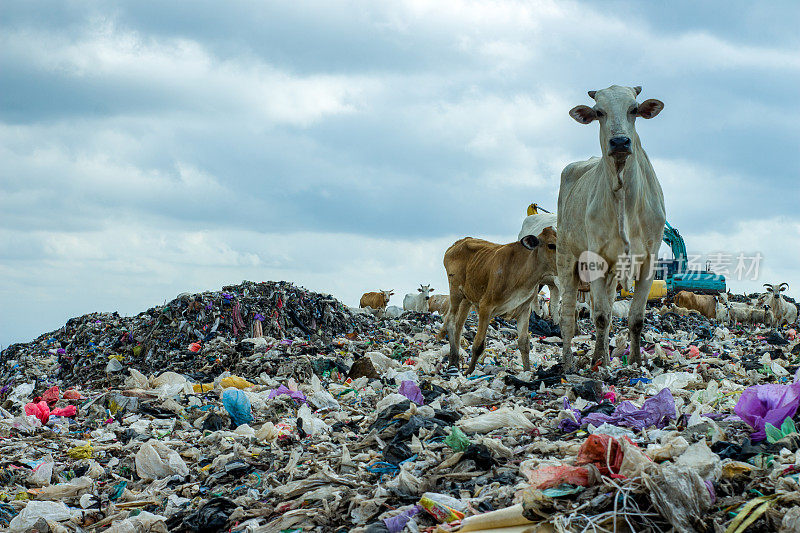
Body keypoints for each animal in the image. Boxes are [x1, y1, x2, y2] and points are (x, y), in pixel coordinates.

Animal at [438, 227, 556, 372]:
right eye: (551, 245)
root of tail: (459, 242)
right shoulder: (485, 307)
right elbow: (478, 345)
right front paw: (469, 372)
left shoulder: (524, 310)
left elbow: (524, 344)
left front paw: (527, 372)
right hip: (455, 291)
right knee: (450, 321)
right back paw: (454, 361)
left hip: (467, 298)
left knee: (459, 326)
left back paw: (454, 361)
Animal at [556, 86, 664, 370]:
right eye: (599, 112)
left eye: (634, 109)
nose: (620, 142)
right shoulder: (595, 258)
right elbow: (602, 316)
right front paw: (602, 362)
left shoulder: (649, 259)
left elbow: (636, 317)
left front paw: (635, 360)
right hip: (565, 257)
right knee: (568, 315)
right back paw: (570, 362)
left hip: (612, 273)